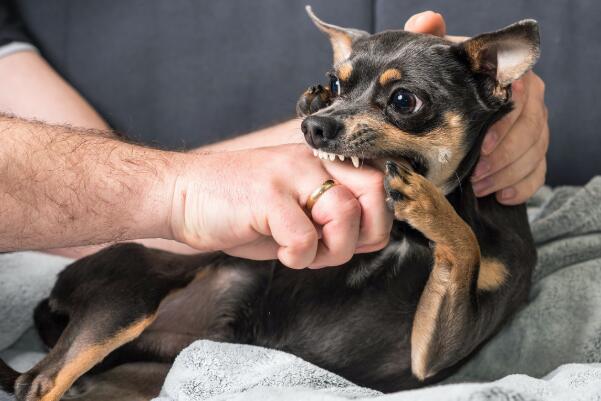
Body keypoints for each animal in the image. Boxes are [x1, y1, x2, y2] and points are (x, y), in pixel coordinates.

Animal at [0, 7, 540, 400]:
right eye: (337, 83)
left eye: (405, 101)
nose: (316, 125)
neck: (408, 237)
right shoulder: (427, 352)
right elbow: (464, 242)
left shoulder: (430, 355)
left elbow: (465, 245)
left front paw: (425, 202)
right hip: (132, 296)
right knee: (42, 381)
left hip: (144, 374)